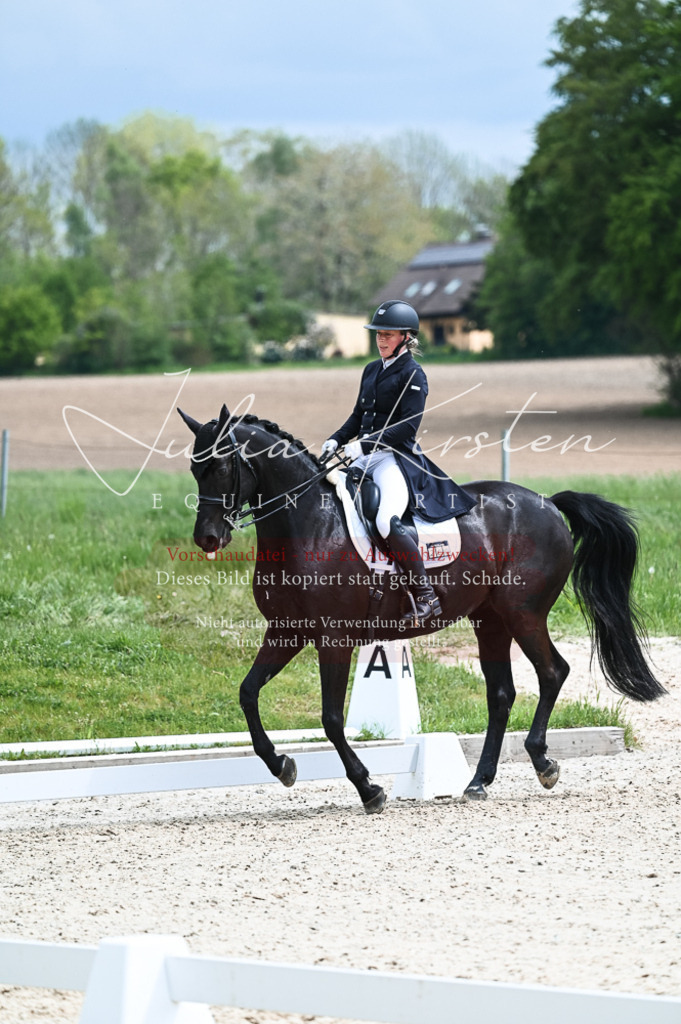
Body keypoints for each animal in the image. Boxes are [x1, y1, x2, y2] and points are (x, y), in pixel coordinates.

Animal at [178, 403, 665, 813]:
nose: (207, 538)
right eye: (194, 468)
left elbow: (331, 719)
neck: (309, 525)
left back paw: (543, 763)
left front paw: (369, 788)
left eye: (222, 465)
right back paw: (478, 781)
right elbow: (248, 693)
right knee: (501, 694)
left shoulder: (333, 638)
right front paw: (282, 766)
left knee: (551, 672)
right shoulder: (286, 632)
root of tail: (546, 502)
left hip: (523, 613)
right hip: (490, 620)